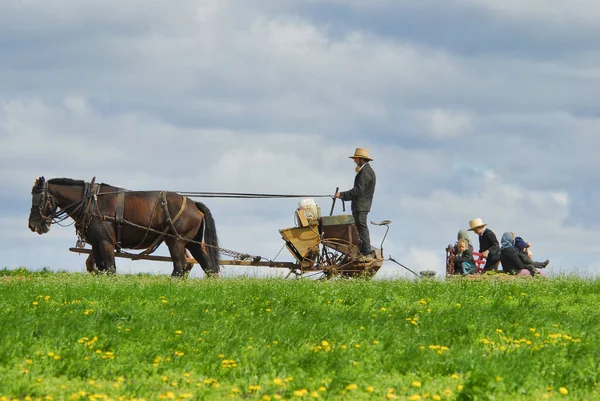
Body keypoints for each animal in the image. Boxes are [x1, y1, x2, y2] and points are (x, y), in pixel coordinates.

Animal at [28, 177, 220, 276]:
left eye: (40, 198)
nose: (32, 225)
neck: (91, 202)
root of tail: (194, 204)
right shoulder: (96, 243)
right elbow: (100, 269)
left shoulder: (106, 243)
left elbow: (110, 269)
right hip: (192, 242)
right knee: (207, 266)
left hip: (175, 241)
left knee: (180, 266)